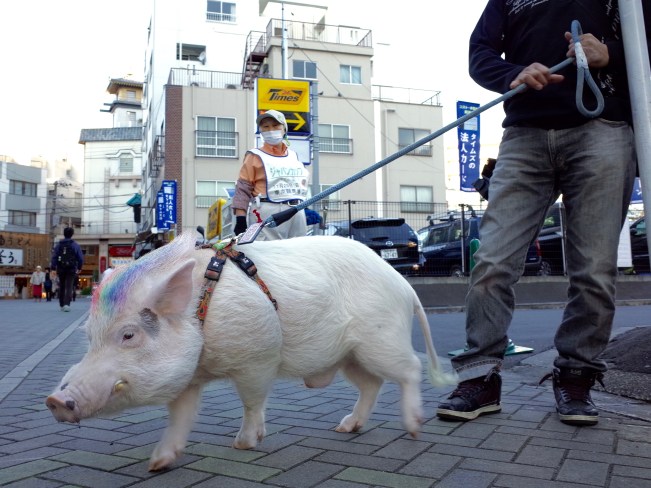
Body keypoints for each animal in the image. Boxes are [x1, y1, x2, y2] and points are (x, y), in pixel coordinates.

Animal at [46, 233, 455, 471]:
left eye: (129, 335)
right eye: (90, 337)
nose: (54, 399)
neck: (201, 316)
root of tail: (403, 284)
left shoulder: (258, 356)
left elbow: (252, 399)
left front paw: (243, 444)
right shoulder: (189, 375)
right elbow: (180, 414)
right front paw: (158, 464)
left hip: (380, 339)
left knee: (410, 369)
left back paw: (414, 427)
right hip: (350, 356)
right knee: (371, 384)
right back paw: (345, 427)